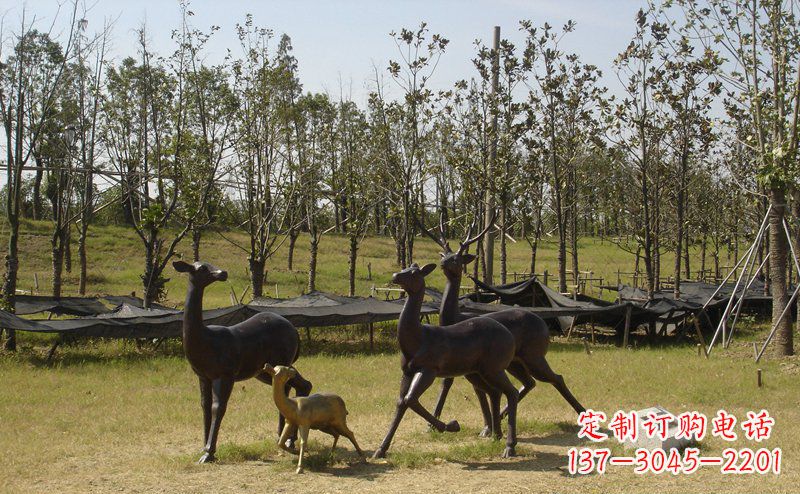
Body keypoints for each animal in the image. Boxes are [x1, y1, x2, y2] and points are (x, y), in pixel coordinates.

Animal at [173, 260, 314, 466]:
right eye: (202, 268)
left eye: (211, 265)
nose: (222, 273)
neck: (206, 341)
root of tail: (295, 331)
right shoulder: (203, 375)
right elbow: (205, 406)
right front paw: (202, 448)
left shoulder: (225, 374)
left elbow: (218, 408)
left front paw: (209, 452)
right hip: (264, 370)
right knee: (295, 386)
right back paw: (285, 438)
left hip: (281, 361)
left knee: (300, 385)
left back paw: (289, 440)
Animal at [374, 262, 520, 460]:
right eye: (405, 267)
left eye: (414, 273)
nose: (396, 276)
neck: (417, 339)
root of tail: (511, 337)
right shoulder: (407, 371)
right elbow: (401, 402)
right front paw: (380, 449)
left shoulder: (429, 369)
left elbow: (410, 399)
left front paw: (451, 425)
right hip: (476, 371)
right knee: (495, 392)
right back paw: (496, 435)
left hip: (494, 367)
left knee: (512, 392)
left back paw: (509, 446)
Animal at [418, 216, 588, 436]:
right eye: (445, 254)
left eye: (457, 257)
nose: (443, 263)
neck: (453, 318)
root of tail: (544, 325)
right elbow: (474, 390)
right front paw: (485, 427)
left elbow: (453, 384)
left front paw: (433, 425)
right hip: (515, 361)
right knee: (529, 383)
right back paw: (500, 416)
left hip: (534, 355)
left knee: (555, 378)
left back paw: (583, 414)